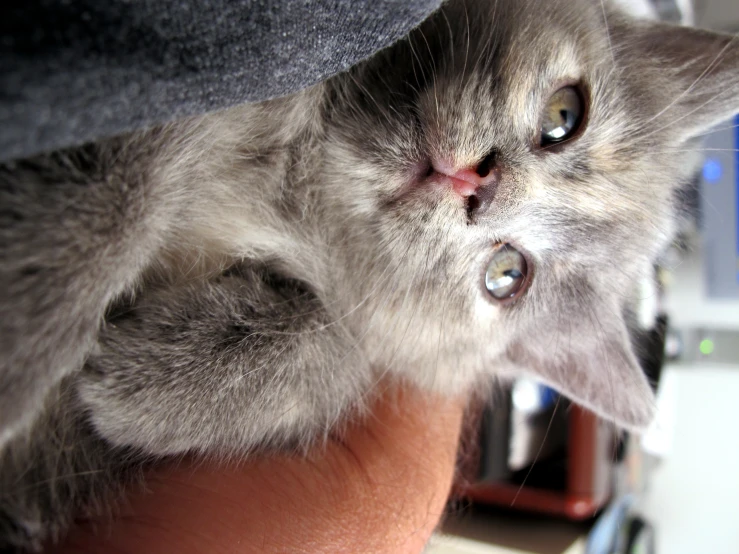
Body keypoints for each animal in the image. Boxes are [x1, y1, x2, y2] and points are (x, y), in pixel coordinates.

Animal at [1, 0, 739, 548]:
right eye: (565, 115)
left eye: (506, 275)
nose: (477, 184)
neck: (299, 177)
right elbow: (113, 177)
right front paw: (26, 326)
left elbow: (343, 348)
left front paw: (149, 379)